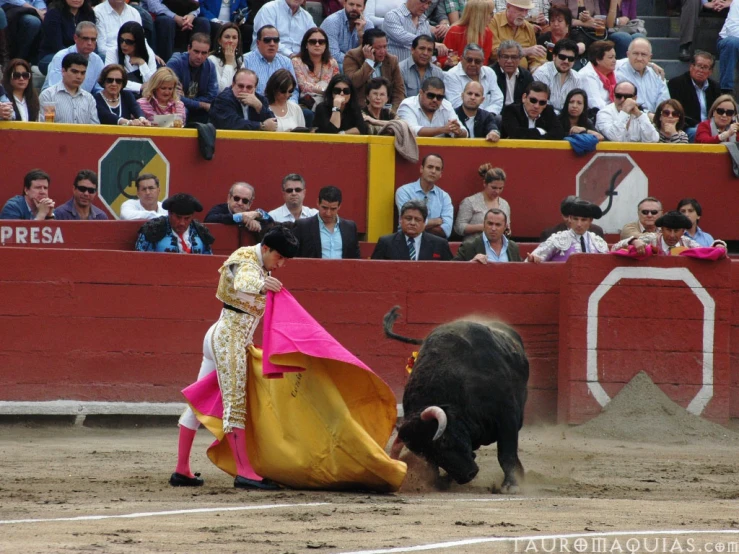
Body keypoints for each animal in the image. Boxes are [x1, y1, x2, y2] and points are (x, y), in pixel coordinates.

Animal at [384, 306, 528, 492]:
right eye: (423, 454)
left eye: (444, 441)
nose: (467, 476)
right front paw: (441, 481)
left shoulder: (507, 417)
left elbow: (506, 454)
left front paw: (511, 484)